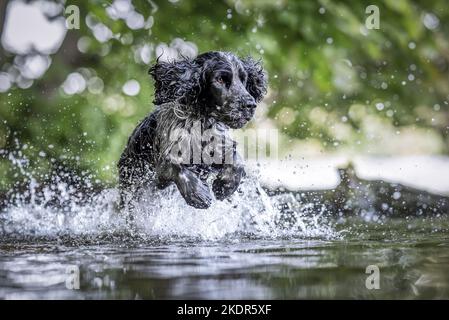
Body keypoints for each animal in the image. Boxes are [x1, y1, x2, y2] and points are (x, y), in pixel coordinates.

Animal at [117, 51, 268, 209]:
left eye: (243, 79)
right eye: (220, 79)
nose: (250, 105)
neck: (201, 124)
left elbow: (236, 159)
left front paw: (225, 186)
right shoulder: (162, 165)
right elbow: (175, 164)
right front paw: (196, 193)